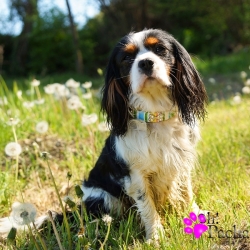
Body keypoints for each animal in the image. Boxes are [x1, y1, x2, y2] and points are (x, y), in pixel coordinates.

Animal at [0, 28, 207, 241]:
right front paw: (155, 237)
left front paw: (195, 217)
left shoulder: (181, 163)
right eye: (127, 58)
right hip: (104, 197)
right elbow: (148, 207)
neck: (155, 116)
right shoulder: (136, 175)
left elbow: (186, 192)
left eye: (160, 49)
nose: (145, 62)